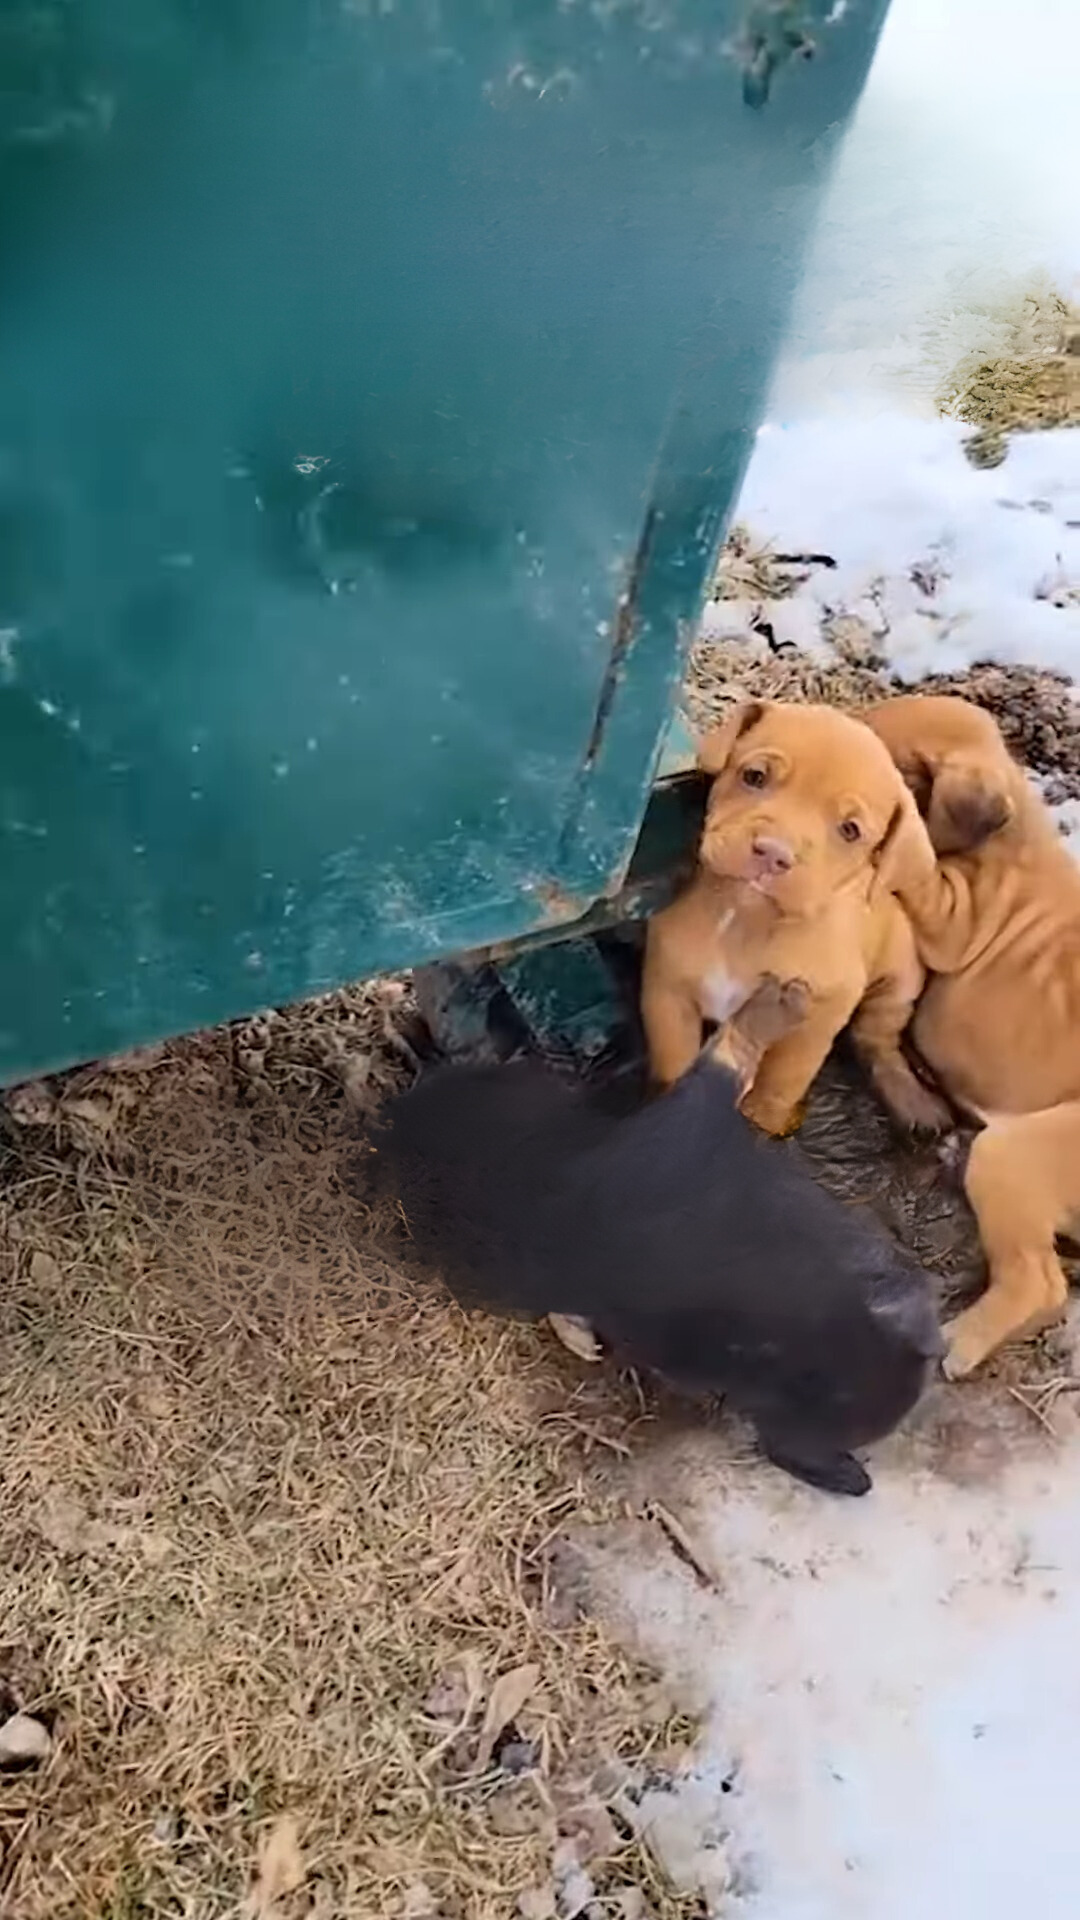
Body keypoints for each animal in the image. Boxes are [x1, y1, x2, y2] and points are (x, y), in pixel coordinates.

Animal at [638, 698, 941, 1128]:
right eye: (754, 776)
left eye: (850, 830)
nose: (773, 853)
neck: (746, 918)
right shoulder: (668, 995)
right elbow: (673, 1065)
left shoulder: (814, 1022)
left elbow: (781, 1080)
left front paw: (761, 1118)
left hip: (900, 981)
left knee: (877, 1040)